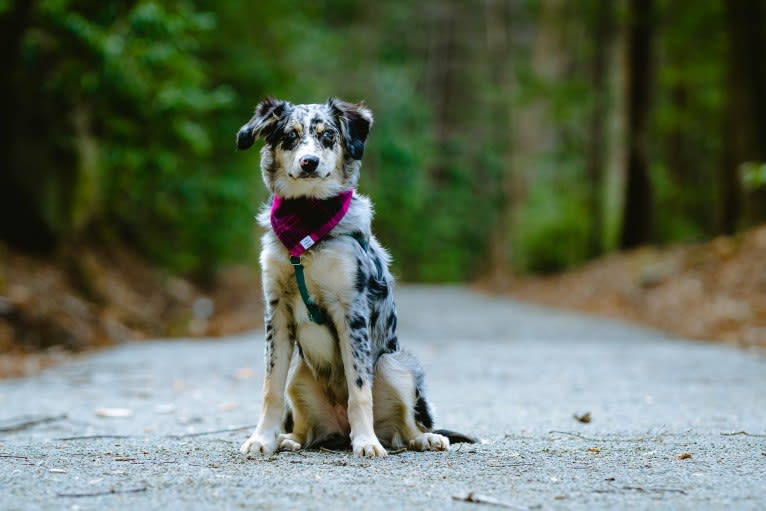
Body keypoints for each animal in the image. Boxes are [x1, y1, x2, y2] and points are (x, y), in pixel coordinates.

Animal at [237, 98, 472, 458]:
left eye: (328, 136)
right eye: (290, 136)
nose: (309, 162)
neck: (307, 235)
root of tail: (338, 429)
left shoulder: (351, 310)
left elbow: (359, 390)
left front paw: (366, 442)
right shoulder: (276, 311)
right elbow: (270, 388)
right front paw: (262, 439)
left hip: (395, 365)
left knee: (407, 426)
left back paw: (423, 438)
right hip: (299, 374)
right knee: (305, 425)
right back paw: (290, 439)